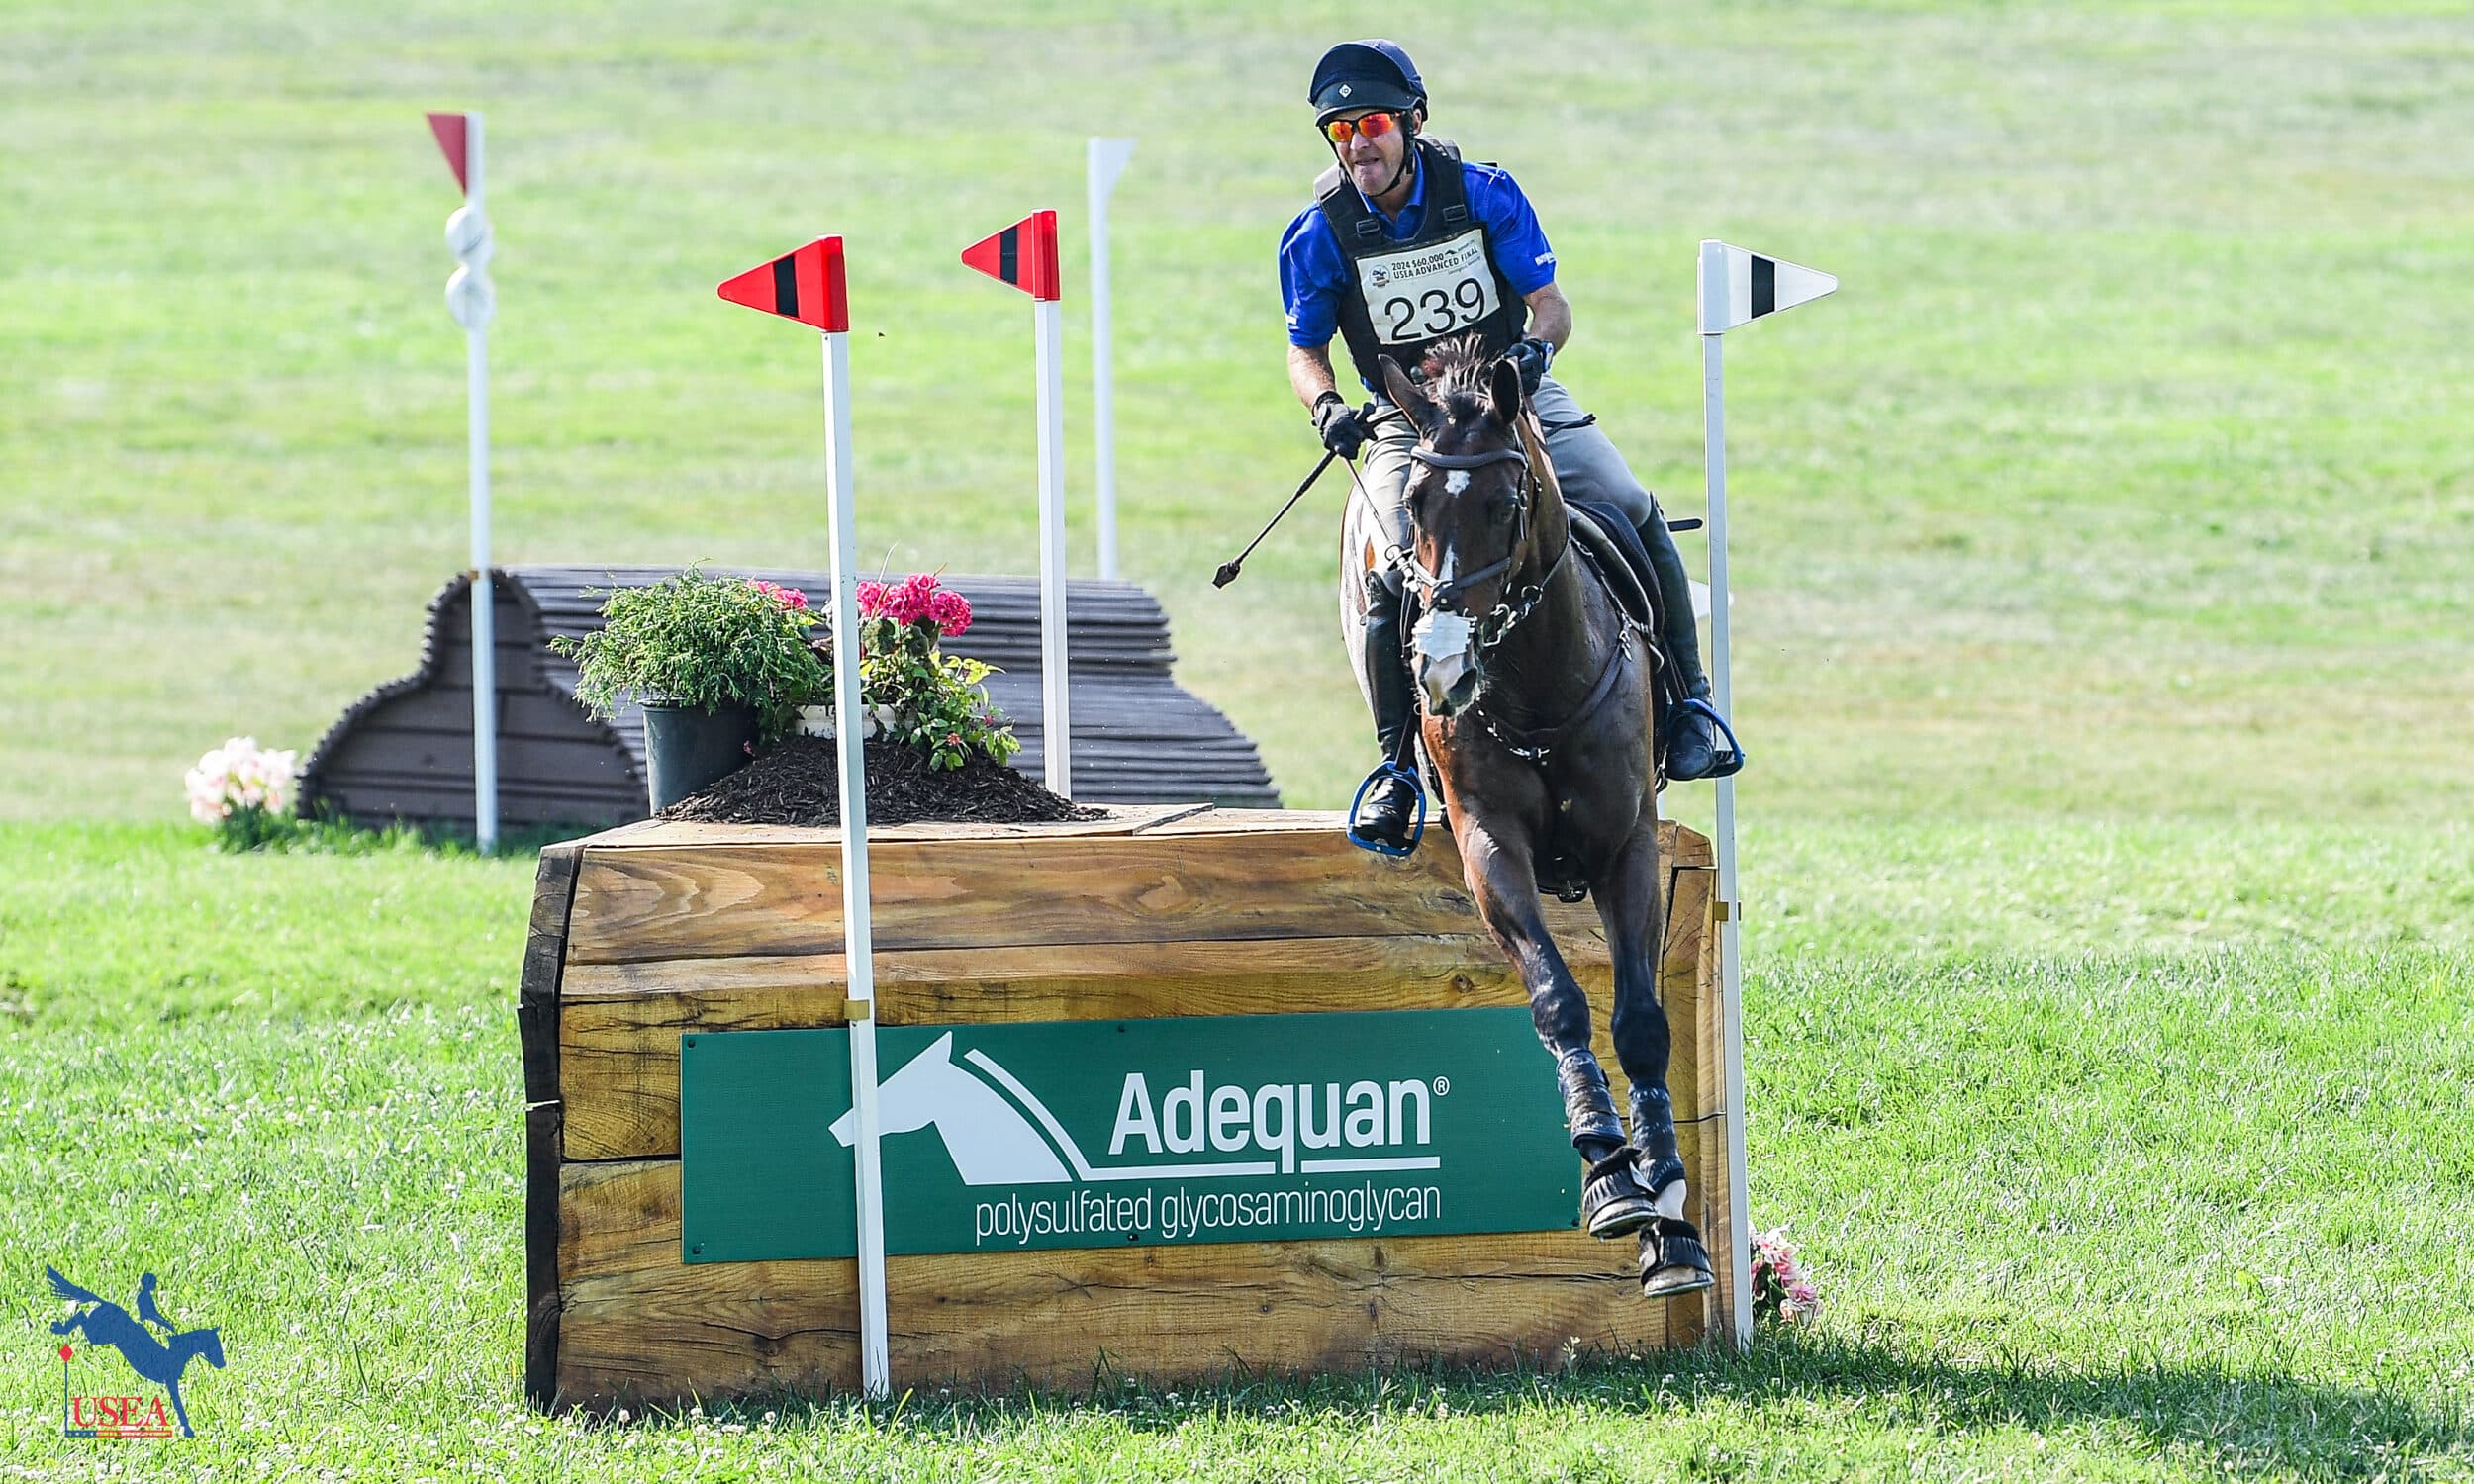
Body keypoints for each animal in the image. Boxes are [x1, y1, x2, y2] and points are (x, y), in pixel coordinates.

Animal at [1364, 337, 1714, 1298]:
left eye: (1505, 502)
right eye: (1415, 504)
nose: (1442, 670)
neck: (1539, 679)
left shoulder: (1629, 848)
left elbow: (1641, 1020)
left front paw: (1671, 1216)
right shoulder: (1490, 847)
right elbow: (1558, 998)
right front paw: (1609, 1171)